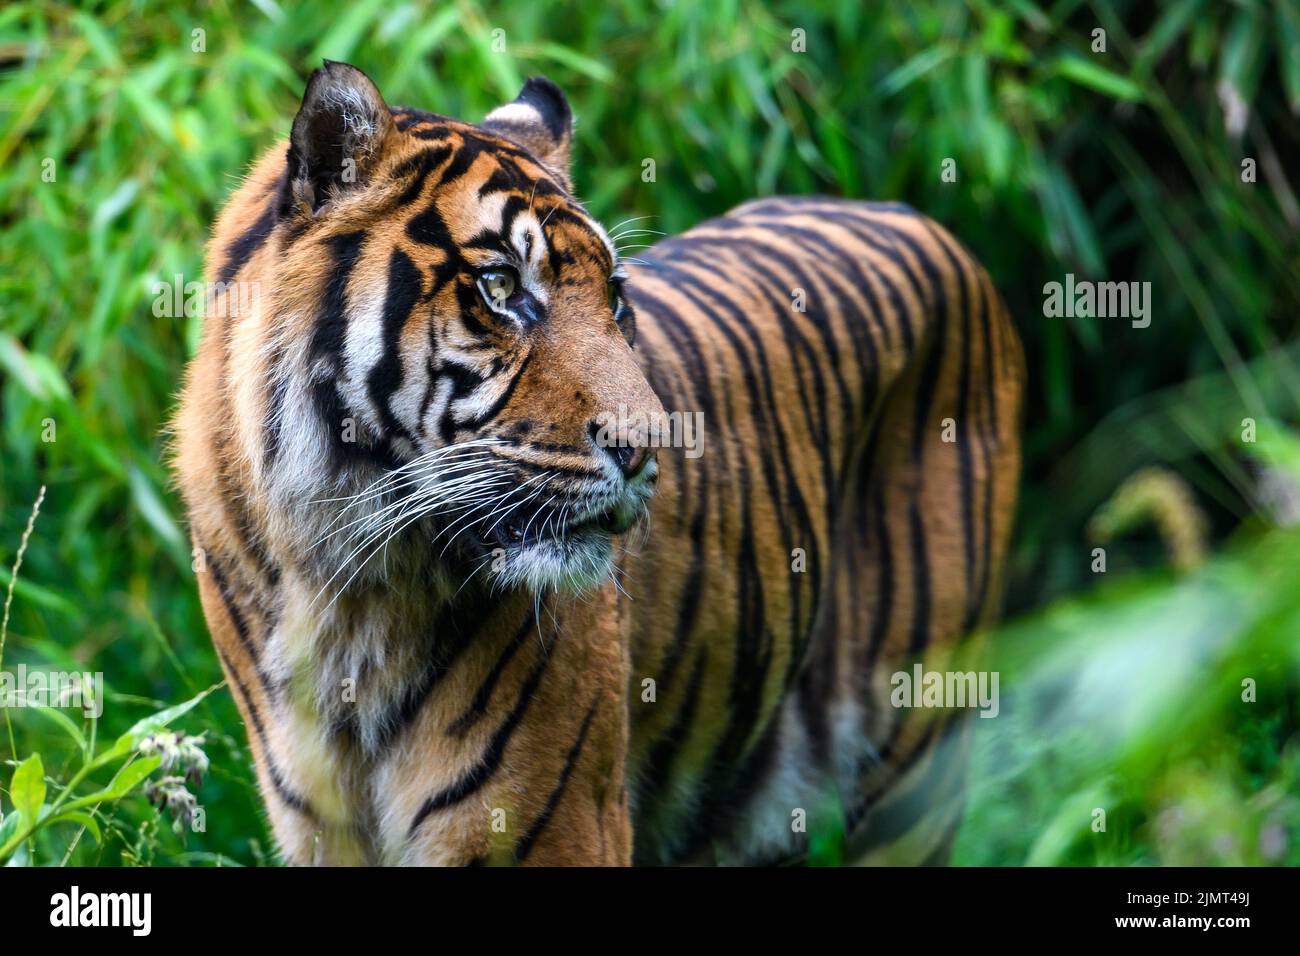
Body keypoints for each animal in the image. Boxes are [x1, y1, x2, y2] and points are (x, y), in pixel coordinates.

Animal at [172, 59, 1024, 868]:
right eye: (500, 285)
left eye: (614, 297)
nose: (653, 447)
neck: (344, 580)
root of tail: (921, 220)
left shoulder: (550, 826)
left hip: (917, 770)